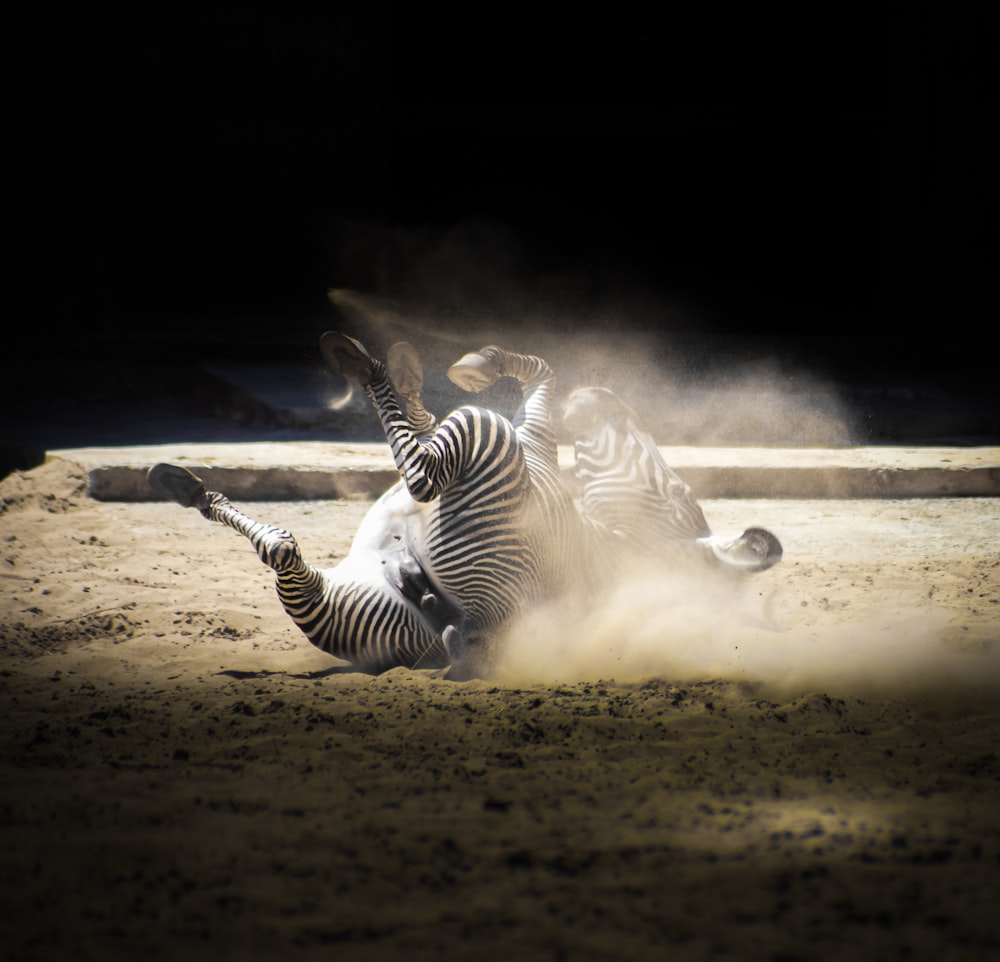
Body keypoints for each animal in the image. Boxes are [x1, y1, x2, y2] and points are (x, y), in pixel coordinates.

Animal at [148, 334, 780, 680]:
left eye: (676, 494)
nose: (600, 396)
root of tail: (486, 622)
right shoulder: (534, 440)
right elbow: (493, 392)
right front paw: (426, 376)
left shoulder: (529, 442)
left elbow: (539, 375)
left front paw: (473, 365)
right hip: (355, 615)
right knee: (287, 551)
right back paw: (186, 486)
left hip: (483, 446)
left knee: (407, 484)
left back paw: (355, 361)